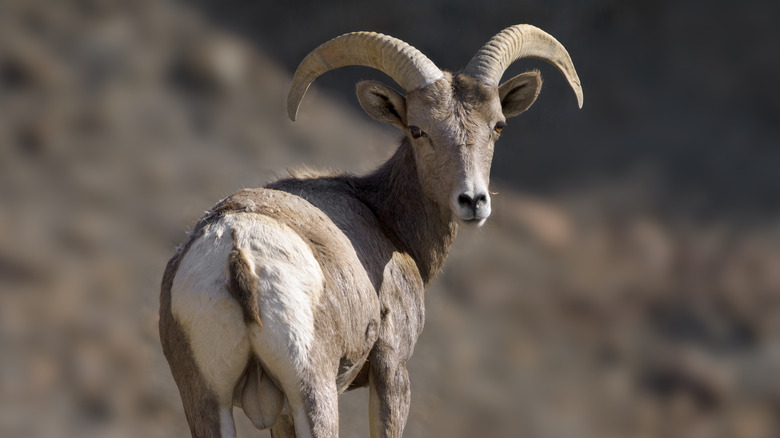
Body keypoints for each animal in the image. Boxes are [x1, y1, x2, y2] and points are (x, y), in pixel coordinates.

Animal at [159, 24, 583, 438]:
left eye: (498, 126)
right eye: (416, 129)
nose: (473, 200)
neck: (383, 217)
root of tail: (237, 254)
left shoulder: (277, 415)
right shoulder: (391, 369)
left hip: (206, 402)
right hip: (313, 394)